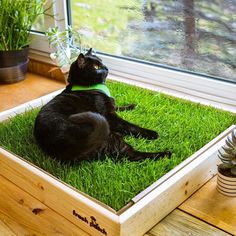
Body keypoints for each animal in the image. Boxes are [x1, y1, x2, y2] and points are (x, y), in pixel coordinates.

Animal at [33, 48, 171, 161]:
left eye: (101, 61)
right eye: (95, 67)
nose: (106, 68)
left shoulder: (111, 108)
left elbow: (117, 106)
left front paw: (131, 106)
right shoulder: (109, 116)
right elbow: (129, 126)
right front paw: (150, 133)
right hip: (109, 132)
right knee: (130, 154)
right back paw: (164, 154)